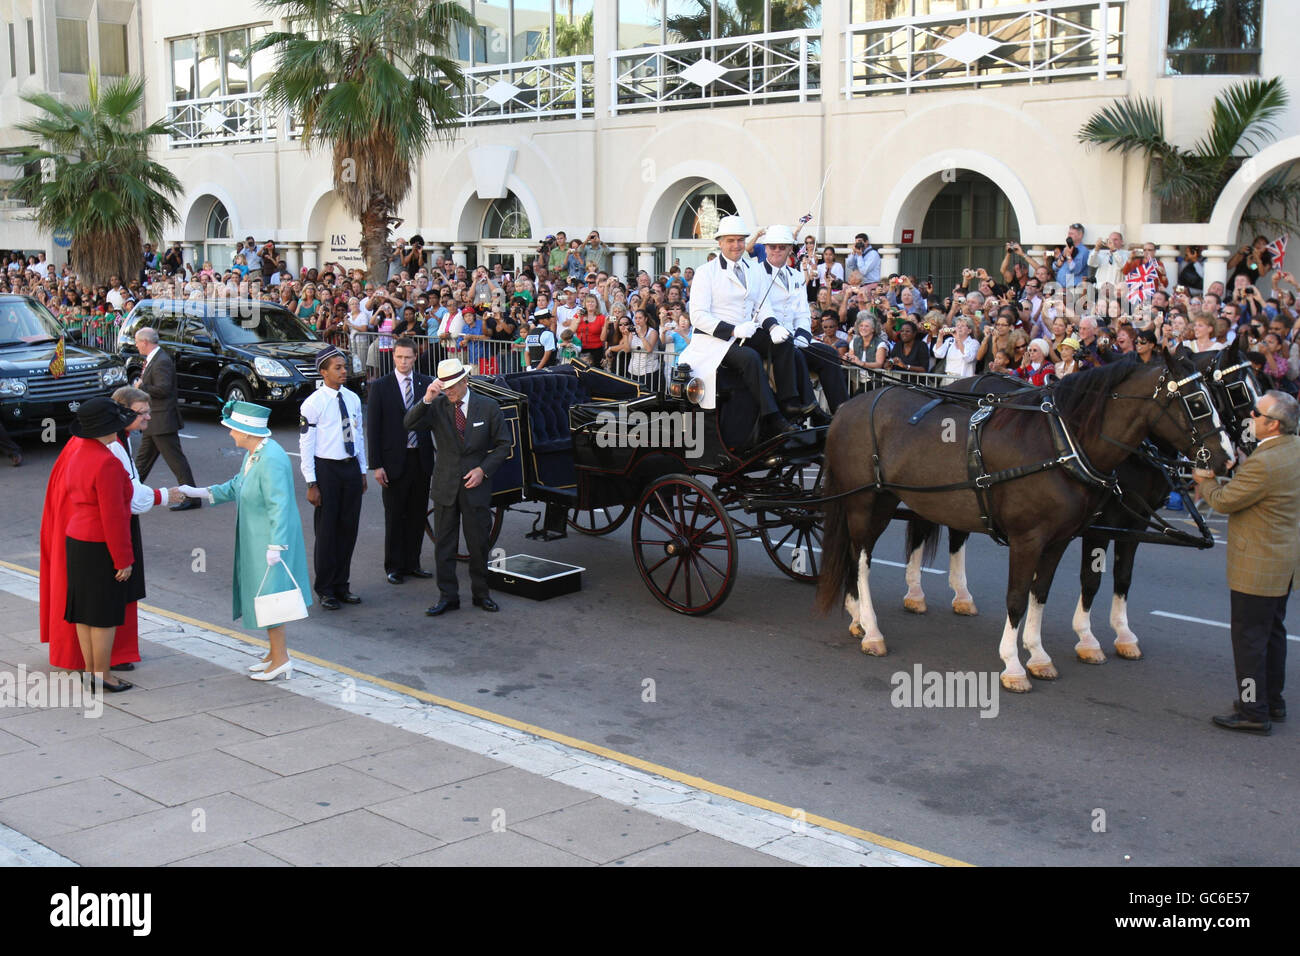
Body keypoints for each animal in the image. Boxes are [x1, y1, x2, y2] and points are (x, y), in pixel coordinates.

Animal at [816, 348, 1232, 691]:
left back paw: (859, 615)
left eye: (1220, 396)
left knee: (857, 554)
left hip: (887, 500)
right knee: (862, 559)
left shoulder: (1064, 538)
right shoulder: (1030, 538)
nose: (1226, 458)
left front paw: (1039, 654)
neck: (1061, 444)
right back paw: (872, 629)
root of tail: (847, 408)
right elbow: (1018, 598)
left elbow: (1042, 593)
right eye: (1197, 401)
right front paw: (1014, 664)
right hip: (863, 502)